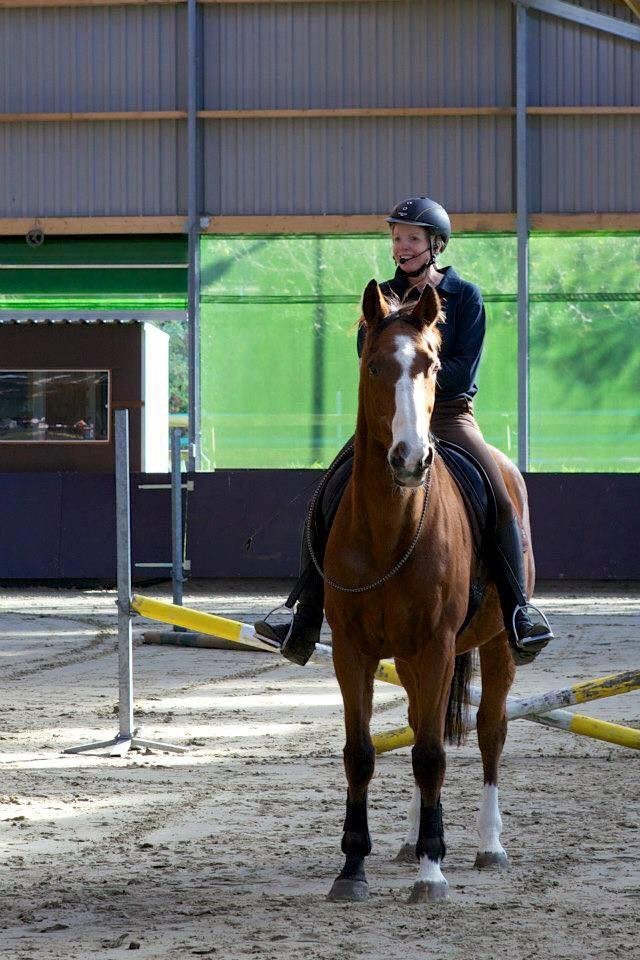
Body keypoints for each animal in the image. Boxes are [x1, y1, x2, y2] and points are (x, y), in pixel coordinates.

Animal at [323, 279, 530, 903]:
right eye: (372, 365)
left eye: (432, 365)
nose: (411, 459)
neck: (390, 533)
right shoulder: (353, 650)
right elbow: (362, 753)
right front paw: (353, 868)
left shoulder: (437, 645)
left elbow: (434, 754)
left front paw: (432, 871)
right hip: (412, 660)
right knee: (421, 723)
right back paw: (413, 839)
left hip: (495, 645)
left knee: (488, 731)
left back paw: (488, 845)